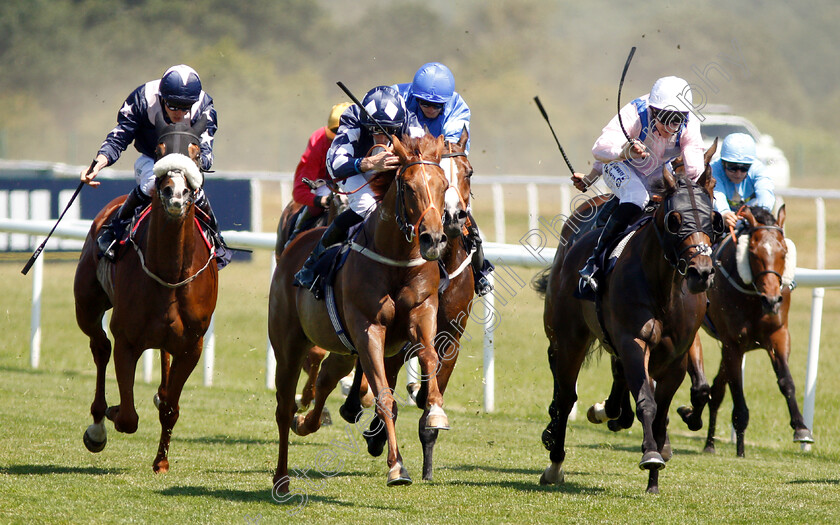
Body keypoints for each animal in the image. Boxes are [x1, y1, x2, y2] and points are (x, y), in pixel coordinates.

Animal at [72, 112, 218, 472]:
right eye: (161, 149)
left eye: (196, 152)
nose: (175, 193)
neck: (169, 273)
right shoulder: (127, 339)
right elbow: (127, 417)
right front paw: (109, 416)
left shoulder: (191, 346)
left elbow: (170, 407)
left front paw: (161, 461)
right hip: (86, 305)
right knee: (100, 346)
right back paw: (98, 422)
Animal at [270, 131, 452, 492]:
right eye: (408, 186)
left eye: (444, 185)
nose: (434, 239)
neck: (394, 258)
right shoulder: (368, 328)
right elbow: (383, 396)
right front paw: (396, 467)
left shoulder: (422, 313)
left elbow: (429, 356)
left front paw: (435, 410)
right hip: (288, 344)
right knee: (284, 406)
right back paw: (282, 478)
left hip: (342, 346)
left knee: (327, 374)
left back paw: (307, 422)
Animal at [536, 166, 720, 494]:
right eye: (674, 219)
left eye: (712, 218)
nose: (701, 272)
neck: (663, 291)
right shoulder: (634, 341)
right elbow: (647, 401)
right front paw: (651, 456)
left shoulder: (676, 357)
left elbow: (662, 412)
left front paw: (654, 479)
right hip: (568, 337)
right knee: (566, 395)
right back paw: (555, 463)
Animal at [672, 204, 812, 454]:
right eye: (754, 252)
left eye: (784, 252)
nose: (772, 300)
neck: (754, 297)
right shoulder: (733, 344)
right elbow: (737, 397)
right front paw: (740, 449)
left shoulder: (779, 335)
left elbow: (786, 381)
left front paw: (801, 428)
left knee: (716, 389)